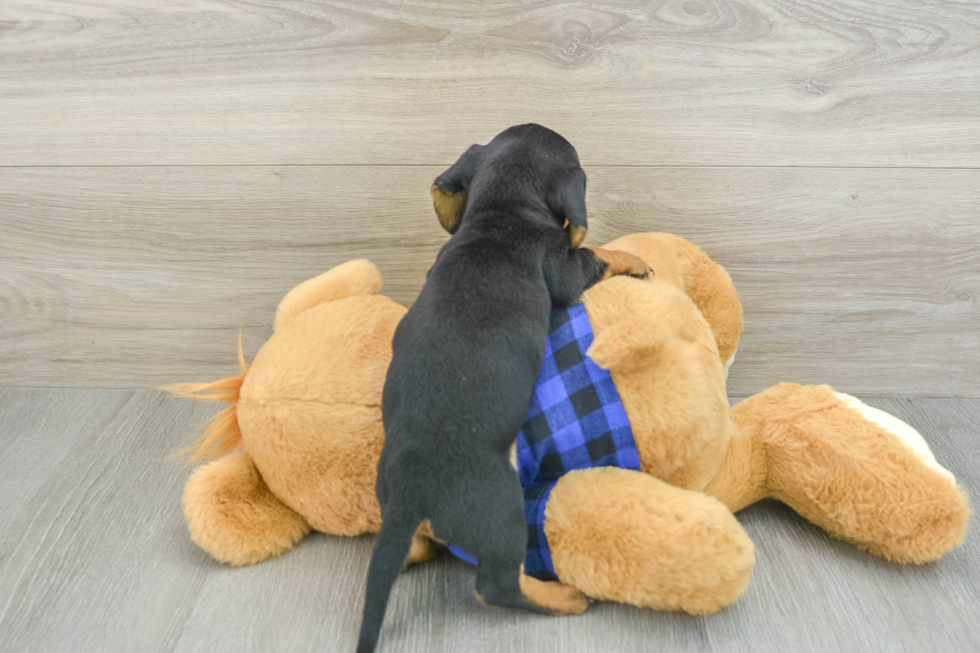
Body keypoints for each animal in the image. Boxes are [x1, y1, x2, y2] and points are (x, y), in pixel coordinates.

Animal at [358, 123, 652, 652]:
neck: (500, 213)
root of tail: (413, 492)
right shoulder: (566, 272)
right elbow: (595, 254)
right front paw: (633, 257)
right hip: (503, 514)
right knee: (496, 587)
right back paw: (563, 598)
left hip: (392, 501)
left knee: (412, 550)